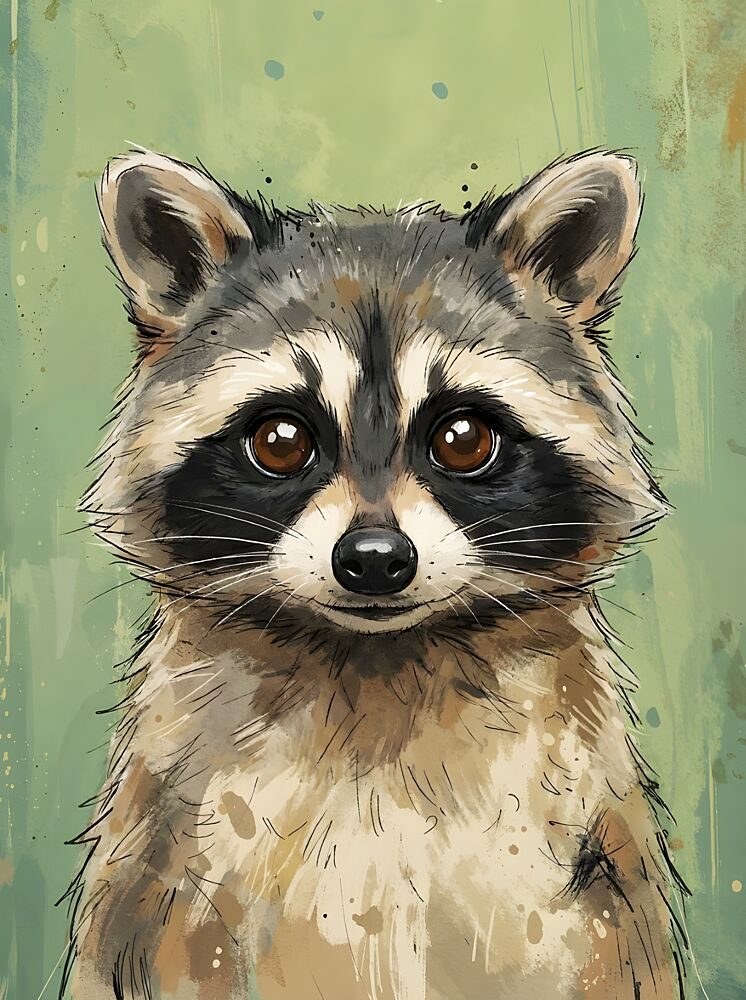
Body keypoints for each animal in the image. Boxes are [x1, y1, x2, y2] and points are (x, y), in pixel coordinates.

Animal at [63, 149, 689, 999]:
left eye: (463, 438)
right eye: (281, 440)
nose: (374, 561)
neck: (374, 665)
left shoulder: (597, 878)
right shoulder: (158, 868)